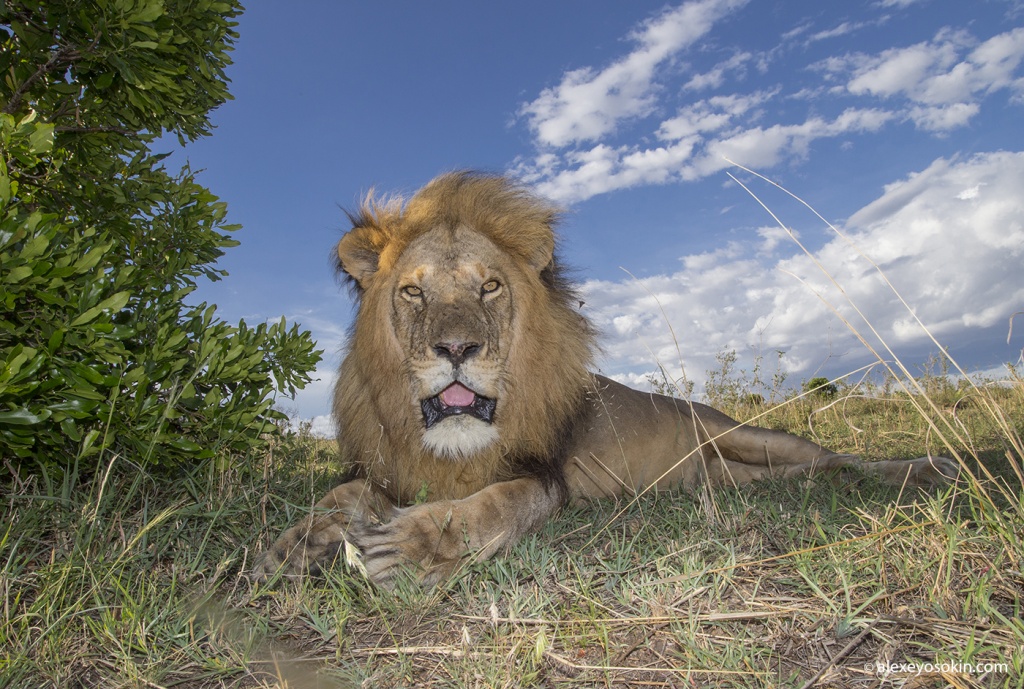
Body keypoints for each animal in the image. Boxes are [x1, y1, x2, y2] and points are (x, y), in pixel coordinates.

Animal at [258, 170, 958, 585]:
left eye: (489, 286)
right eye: (411, 292)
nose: (456, 347)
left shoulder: (546, 477)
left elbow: (490, 505)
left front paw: (410, 546)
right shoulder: (386, 468)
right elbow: (340, 496)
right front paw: (292, 547)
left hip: (745, 433)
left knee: (838, 457)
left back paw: (928, 468)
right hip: (733, 474)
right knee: (801, 475)